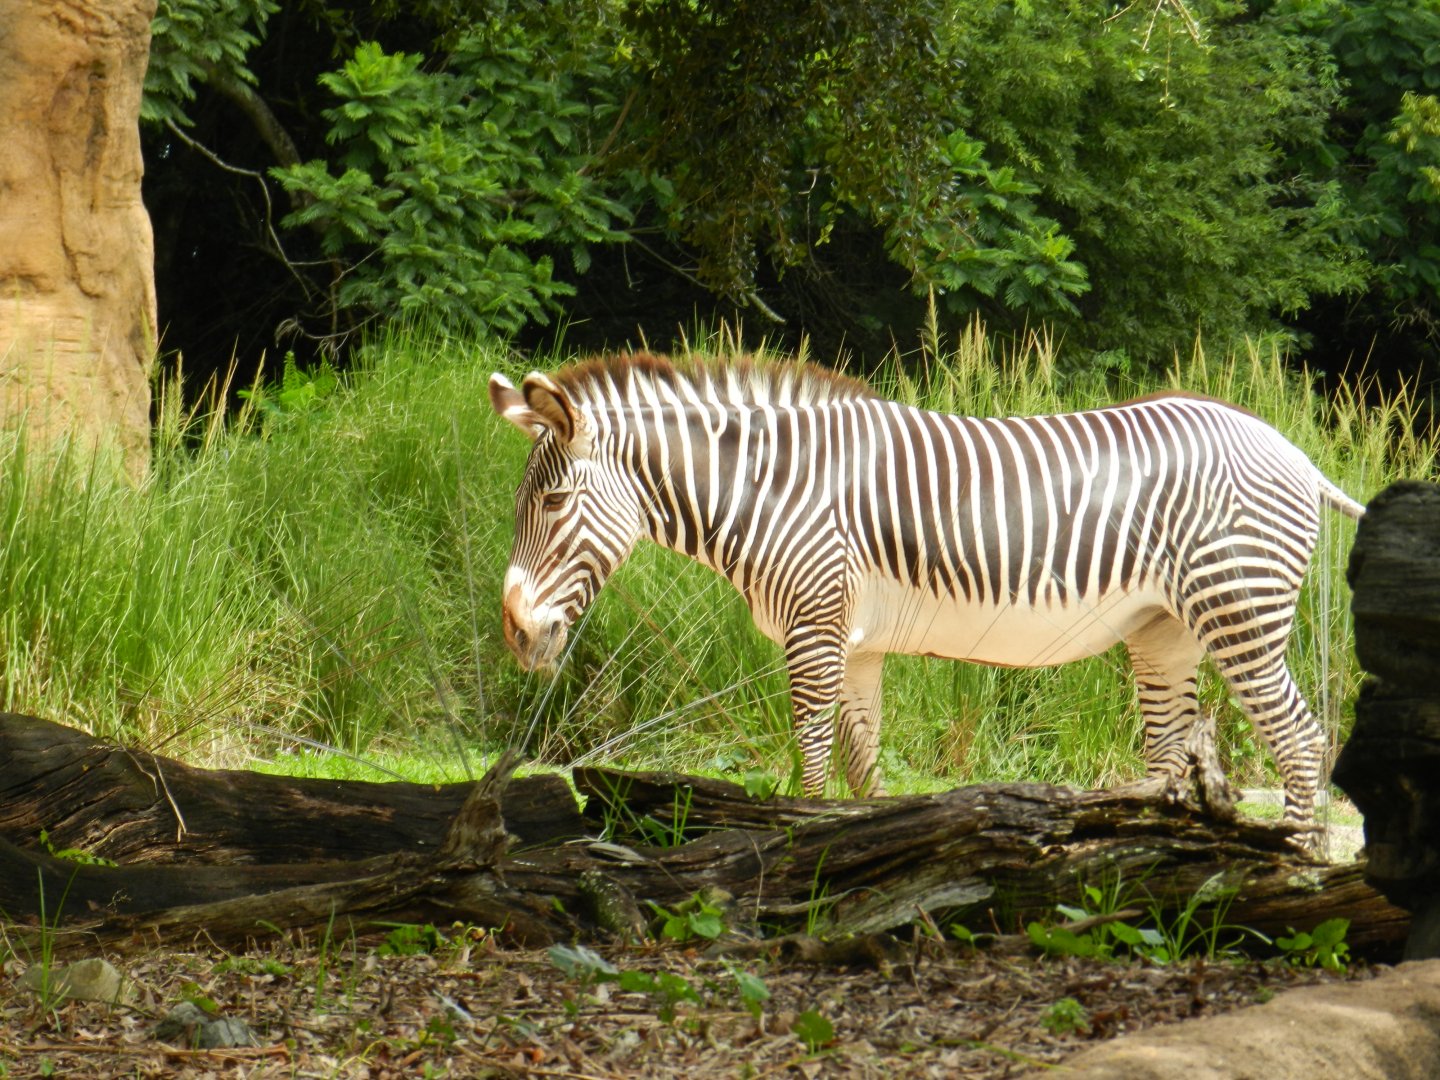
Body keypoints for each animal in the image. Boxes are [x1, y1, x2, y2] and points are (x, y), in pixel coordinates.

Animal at [489, 352, 1364, 834]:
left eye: (554, 503)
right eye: (522, 503)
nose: (517, 636)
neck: (773, 490)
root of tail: (1293, 451)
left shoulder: (815, 628)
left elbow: (813, 764)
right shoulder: (855, 644)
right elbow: (862, 771)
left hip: (1239, 610)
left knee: (1299, 742)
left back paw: (1290, 866)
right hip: (1166, 631)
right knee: (1169, 758)